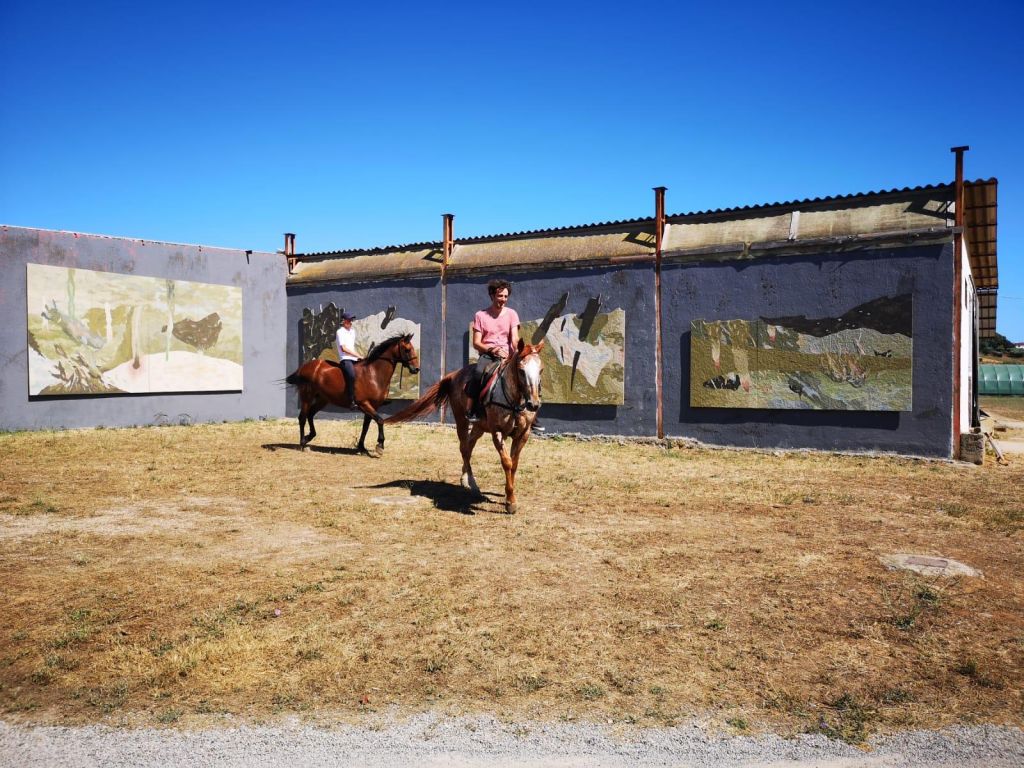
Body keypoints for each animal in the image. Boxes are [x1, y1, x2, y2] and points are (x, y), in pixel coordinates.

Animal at [282, 333, 417, 454]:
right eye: (407, 350)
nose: (416, 369)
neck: (373, 373)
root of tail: (305, 367)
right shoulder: (364, 403)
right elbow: (380, 420)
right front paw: (380, 445)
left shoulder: (372, 406)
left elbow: (366, 426)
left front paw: (362, 447)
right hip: (307, 397)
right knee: (302, 418)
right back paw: (302, 444)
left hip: (322, 400)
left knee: (310, 415)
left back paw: (308, 437)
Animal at [385, 339, 544, 514]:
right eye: (521, 371)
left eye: (541, 370)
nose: (534, 404)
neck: (513, 401)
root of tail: (454, 375)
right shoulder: (497, 432)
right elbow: (507, 462)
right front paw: (510, 502)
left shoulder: (523, 434)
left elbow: (514, 464)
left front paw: (510, 495)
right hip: (461, 420)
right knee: (464, 448)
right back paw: (470, 482)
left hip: (479, 426)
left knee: (469, 446)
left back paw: (466, 477)